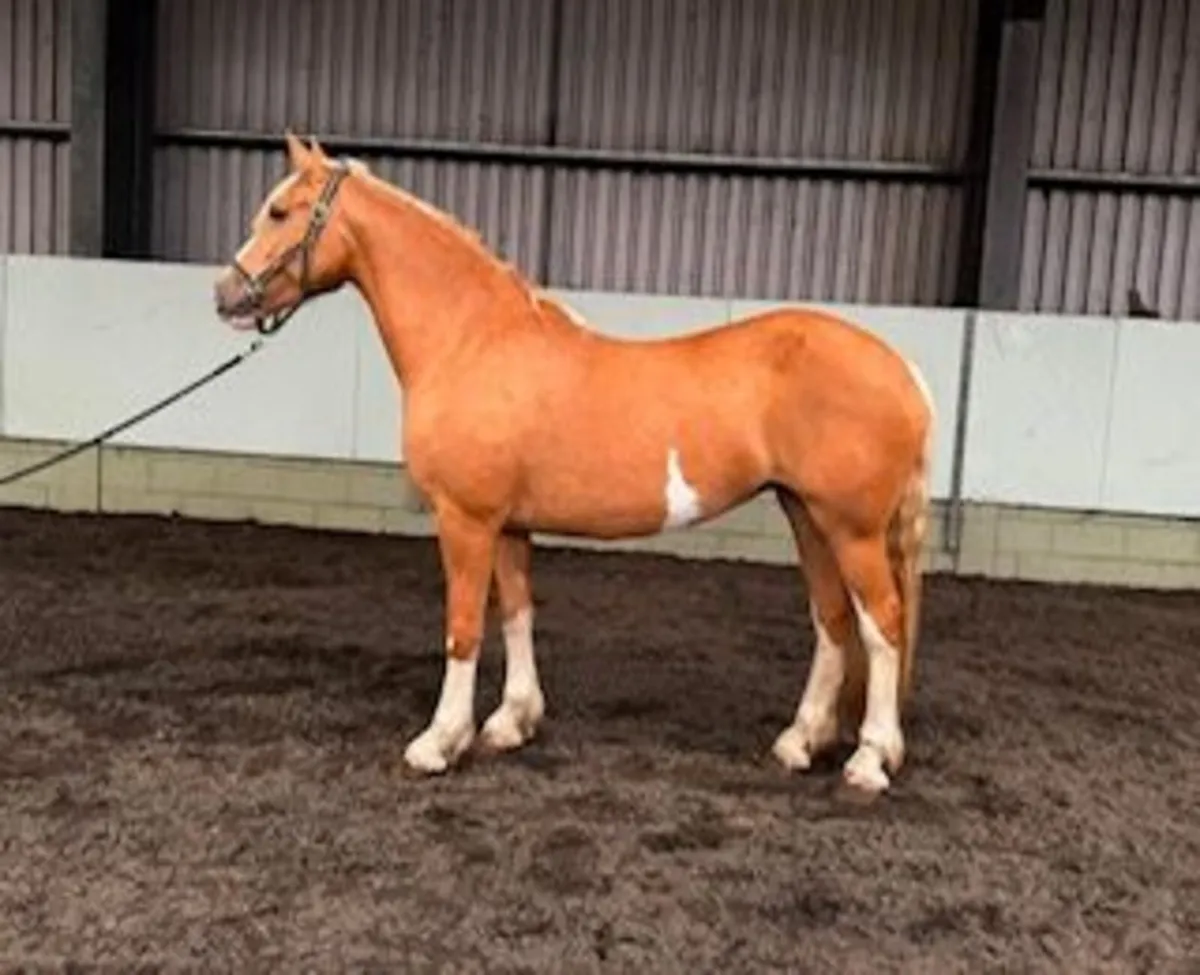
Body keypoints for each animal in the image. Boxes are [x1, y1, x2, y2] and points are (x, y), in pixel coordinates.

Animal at [213, 133, 935, 800]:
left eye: (279, 211)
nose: (225, 294)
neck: (471, 341)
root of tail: (904, 371)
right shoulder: (507, 524)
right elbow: (517, 612)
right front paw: (512, 721)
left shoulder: (466, 520)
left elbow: (463, 628)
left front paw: (439, 741)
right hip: (806, 514)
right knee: (832, 620)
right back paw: (799, 740)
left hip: (851, 529)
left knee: (882, 625)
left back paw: (870, 758)